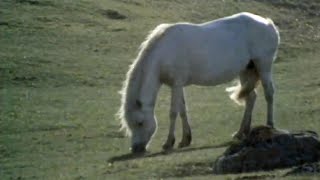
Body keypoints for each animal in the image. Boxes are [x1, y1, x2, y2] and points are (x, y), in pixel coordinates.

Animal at [117, 12, 280, 153]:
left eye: (140, 123)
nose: (136, 149)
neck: (163, 52)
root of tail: (268, 23)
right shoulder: (178, 85)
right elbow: (183, 110)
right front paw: (185, 139)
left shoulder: (176, 84)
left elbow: (173, 112)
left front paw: (169, 142)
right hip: (246, 70)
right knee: (251, 97)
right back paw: (241, 132)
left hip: (263, 65)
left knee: (269, 93)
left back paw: (270, 125)